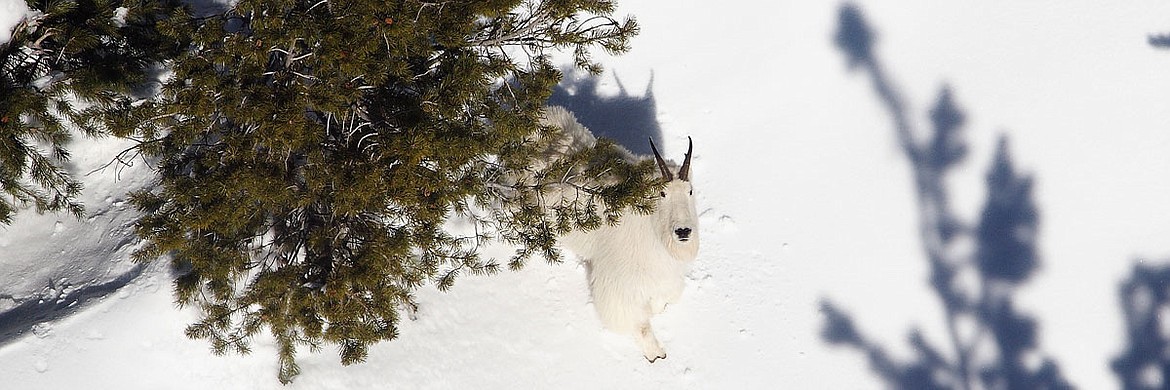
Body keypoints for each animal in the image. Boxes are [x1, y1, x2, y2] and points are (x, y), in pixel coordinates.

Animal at [535, 105, 692, 360]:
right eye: (662, 193)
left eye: (690, 191)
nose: (683, 231)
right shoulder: (617, 285)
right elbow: (638, 322)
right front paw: (655, 353)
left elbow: (661, 302)